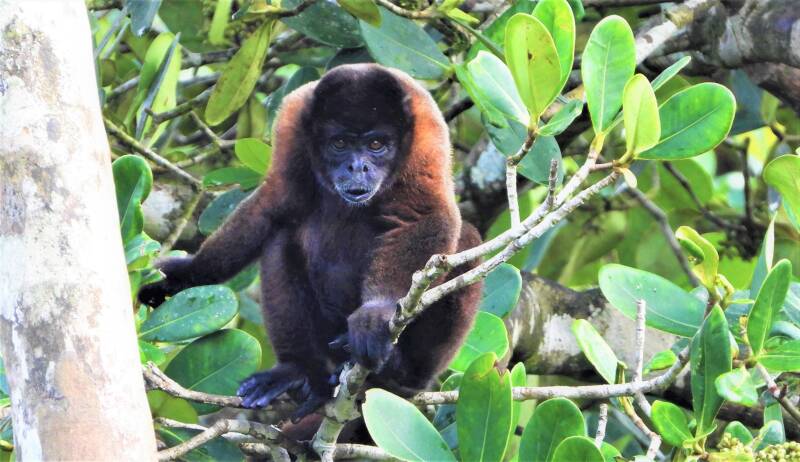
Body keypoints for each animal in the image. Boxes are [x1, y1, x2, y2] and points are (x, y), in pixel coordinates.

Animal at [139, 63, 482, 422]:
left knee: (467, 240)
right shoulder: (292, 122)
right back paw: (299, 372)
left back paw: (400, 373)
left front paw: (376, 312)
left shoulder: (427, 130)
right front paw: (184, 274)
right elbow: (275, 205)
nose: (357, 166)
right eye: (340, 143)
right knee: (281, 237)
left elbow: (427, 216)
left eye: (376, 144)